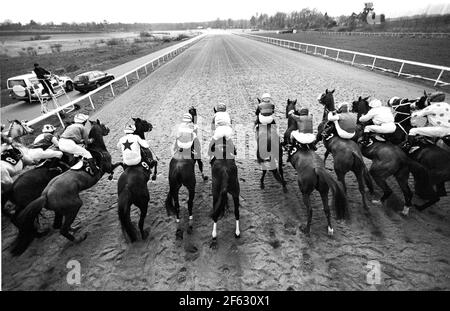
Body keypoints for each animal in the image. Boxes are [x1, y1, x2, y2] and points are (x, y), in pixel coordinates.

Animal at [11, 119, 119, 256]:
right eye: (103, 126)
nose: (108, 129)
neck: (97, 147)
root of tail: (45, 195)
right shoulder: (108, 166)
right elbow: (119, 164)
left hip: (59, 210)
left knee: (58, 225)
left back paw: (72, 228)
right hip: (74, 205)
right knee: (62, 229)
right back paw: (78, 238)